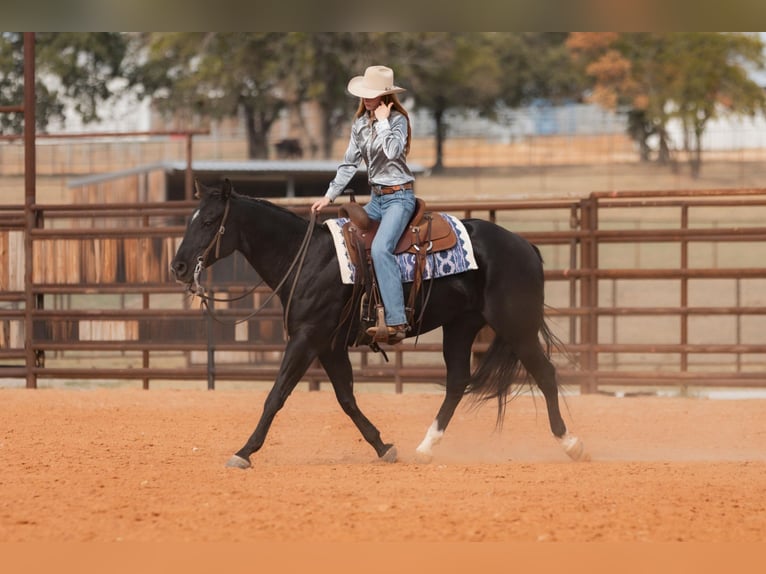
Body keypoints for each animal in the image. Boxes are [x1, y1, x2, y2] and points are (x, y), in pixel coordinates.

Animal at [171, 180, 588, 468]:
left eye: (208, 221)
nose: (178, 266)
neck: (307, 258)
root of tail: (525, 245)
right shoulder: (328, 344)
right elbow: (346, 398)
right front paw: (383, 446)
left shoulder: (306, 338)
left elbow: (276, 395)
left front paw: (244, 452)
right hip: (460, 327)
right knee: (457, 382)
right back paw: (425, 447)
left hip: (516, 325)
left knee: (545, 374)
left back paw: (572, 443)